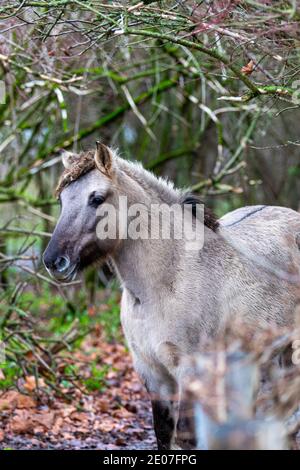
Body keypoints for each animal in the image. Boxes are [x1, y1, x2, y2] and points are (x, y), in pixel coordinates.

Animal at [43, 142, 300, 448]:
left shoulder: (190, 371)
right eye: (61, 200)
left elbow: (187, 436)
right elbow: (164, 433)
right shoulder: (153, 374)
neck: (167, 281)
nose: (53, 261)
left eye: (96, 198)